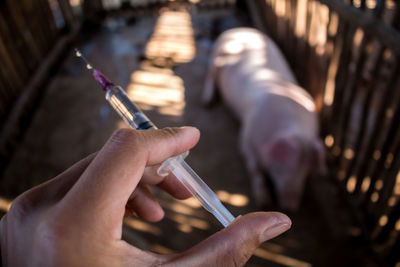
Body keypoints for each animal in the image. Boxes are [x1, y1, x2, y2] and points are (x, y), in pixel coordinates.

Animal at [203, 27, 324, 211]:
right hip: (220, 53)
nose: (291, 206)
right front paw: (264, 201)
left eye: (306, 170)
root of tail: (235, 30)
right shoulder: (246, 138)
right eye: (284, 166)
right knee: (213, 68)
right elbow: (255, 169)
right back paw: (207, 102)